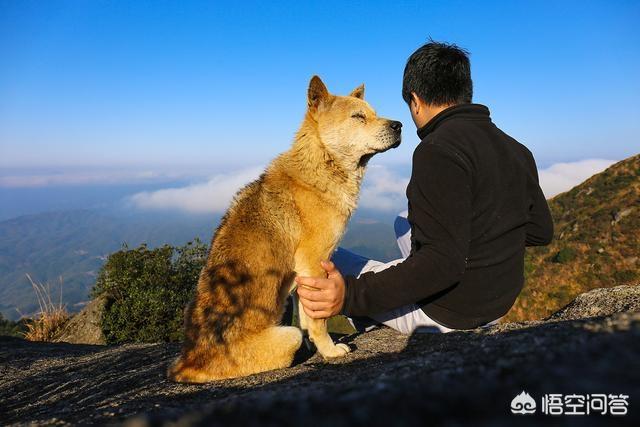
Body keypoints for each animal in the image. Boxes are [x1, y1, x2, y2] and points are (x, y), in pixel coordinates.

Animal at [168, 77, 402, 384]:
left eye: (375, 113)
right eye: (358, 116)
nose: (399, 125)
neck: (322, 165)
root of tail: (186, 363)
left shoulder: (303, 275)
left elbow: (306, 317)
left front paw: (317, 346)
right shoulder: (313, 263)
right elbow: (316, 321)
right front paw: (329, 351)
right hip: (286, 335)